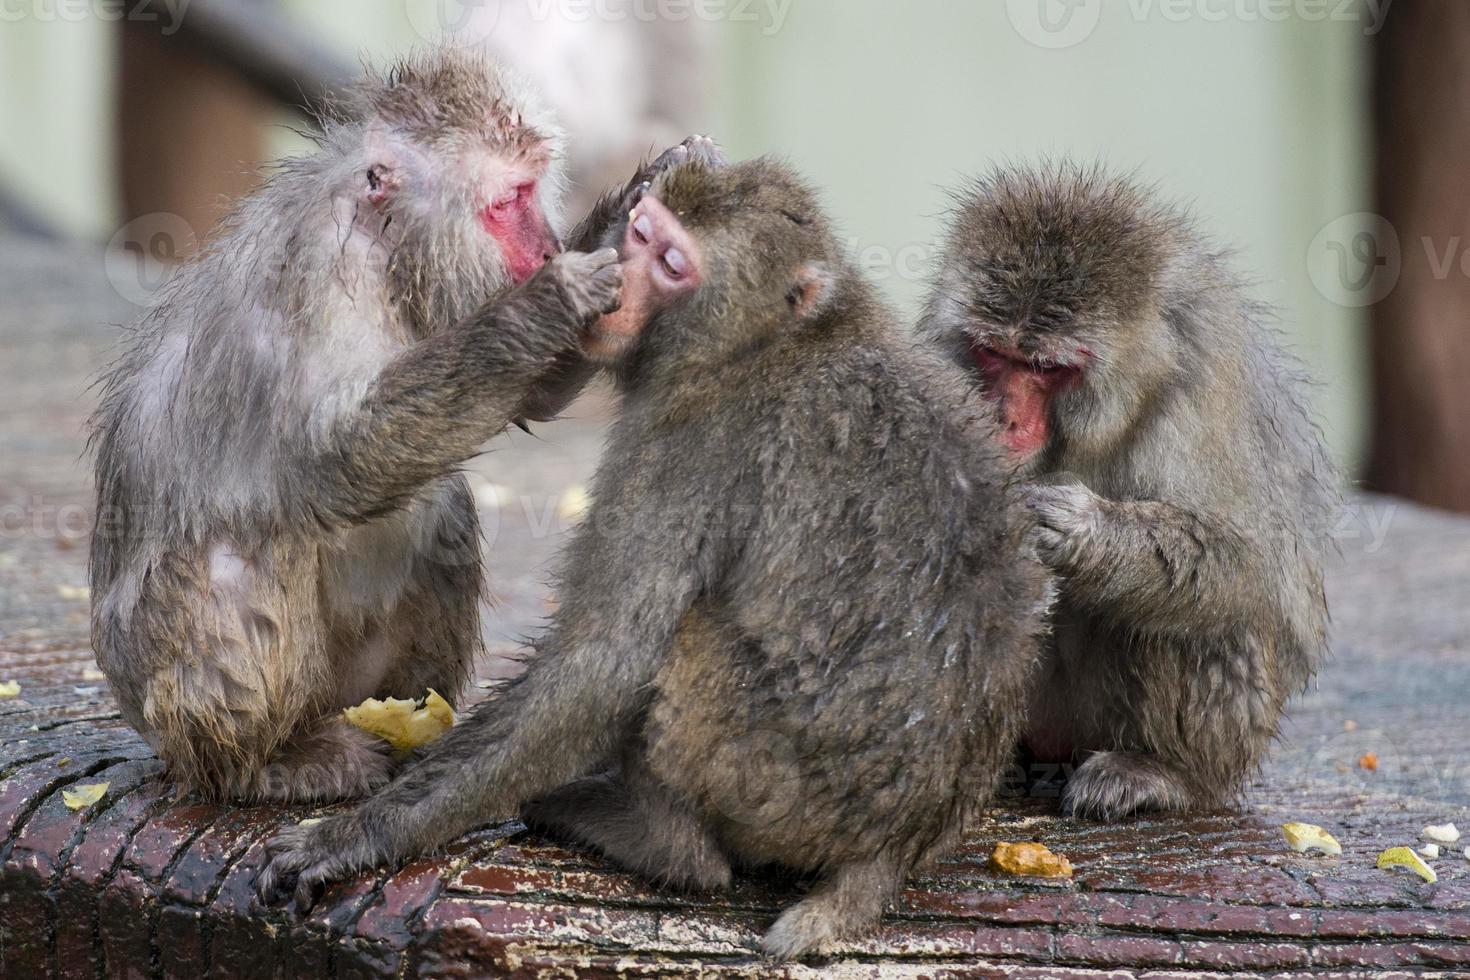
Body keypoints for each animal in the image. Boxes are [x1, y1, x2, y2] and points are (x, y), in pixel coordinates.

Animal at [88, 47, 702, 805]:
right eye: (508, 203)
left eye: (532, 190)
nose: (546, 248)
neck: (386, 256)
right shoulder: (318, 278)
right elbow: (332, 460)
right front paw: (547, 301)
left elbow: (528, 398)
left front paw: (638, 198)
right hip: (173, 699)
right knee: (246, 556)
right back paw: (267, 762)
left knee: (442, 513)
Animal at [258, 155, 1052, 957]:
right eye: (639, 236)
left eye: (671, 264)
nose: (615, 288)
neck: (766, 341)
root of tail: (896, 844)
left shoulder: (685, 444)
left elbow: (604, 664)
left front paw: (354, 837)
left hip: (774, 783)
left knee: (686, 648)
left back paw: (667, 845)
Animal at [923, 164, 1340, 822]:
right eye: (992, 353)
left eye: (1045, 367)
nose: (1003, 418)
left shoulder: (1198, 394)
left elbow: (1249, 565)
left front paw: (1076, 530)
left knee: (1206, 620)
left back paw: (1166, 772)